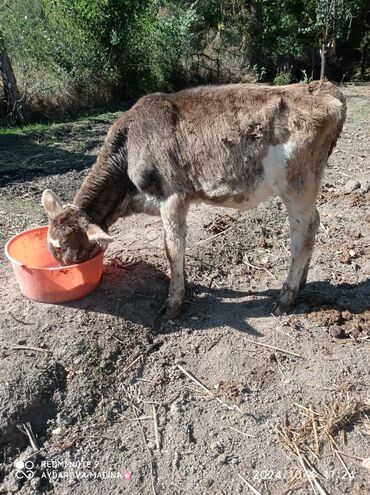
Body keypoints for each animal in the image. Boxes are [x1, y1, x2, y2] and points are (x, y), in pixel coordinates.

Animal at [42, 82, 346, 318]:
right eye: (52, 249)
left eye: (75, 252)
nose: (65, 276)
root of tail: (320, 86)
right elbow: (177, 245)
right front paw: (185, 285)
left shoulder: (173, 196)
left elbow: (172, 248)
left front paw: (174, 303)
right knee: (315, 222)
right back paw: (302, 282)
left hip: (298, 184)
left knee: (302, 235)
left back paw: (287, 296)